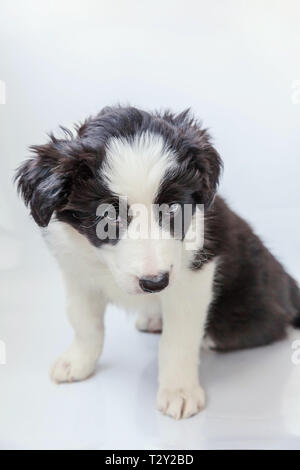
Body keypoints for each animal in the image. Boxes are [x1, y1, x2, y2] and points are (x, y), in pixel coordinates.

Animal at [15, 106, 300, 418]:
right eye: (107, 216)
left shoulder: (193, 280)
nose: (155, 283)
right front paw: (78, 361)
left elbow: (178, 340)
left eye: (173, 209)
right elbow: (84, 323)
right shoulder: (78, 274)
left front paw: (179, 391)